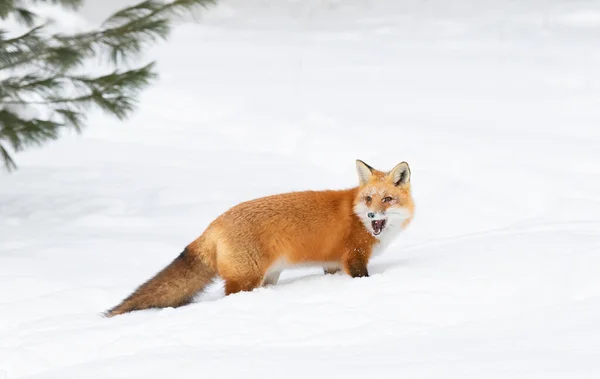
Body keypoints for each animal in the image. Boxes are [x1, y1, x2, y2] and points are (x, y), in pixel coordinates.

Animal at [104, 160, 412, 318]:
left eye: (387, 199)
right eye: (369, 199)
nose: (371, 215)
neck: (356, 215)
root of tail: (213, 225)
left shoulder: (334, 264)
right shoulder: (354, 258)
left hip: (268, 276)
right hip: (247, 279)